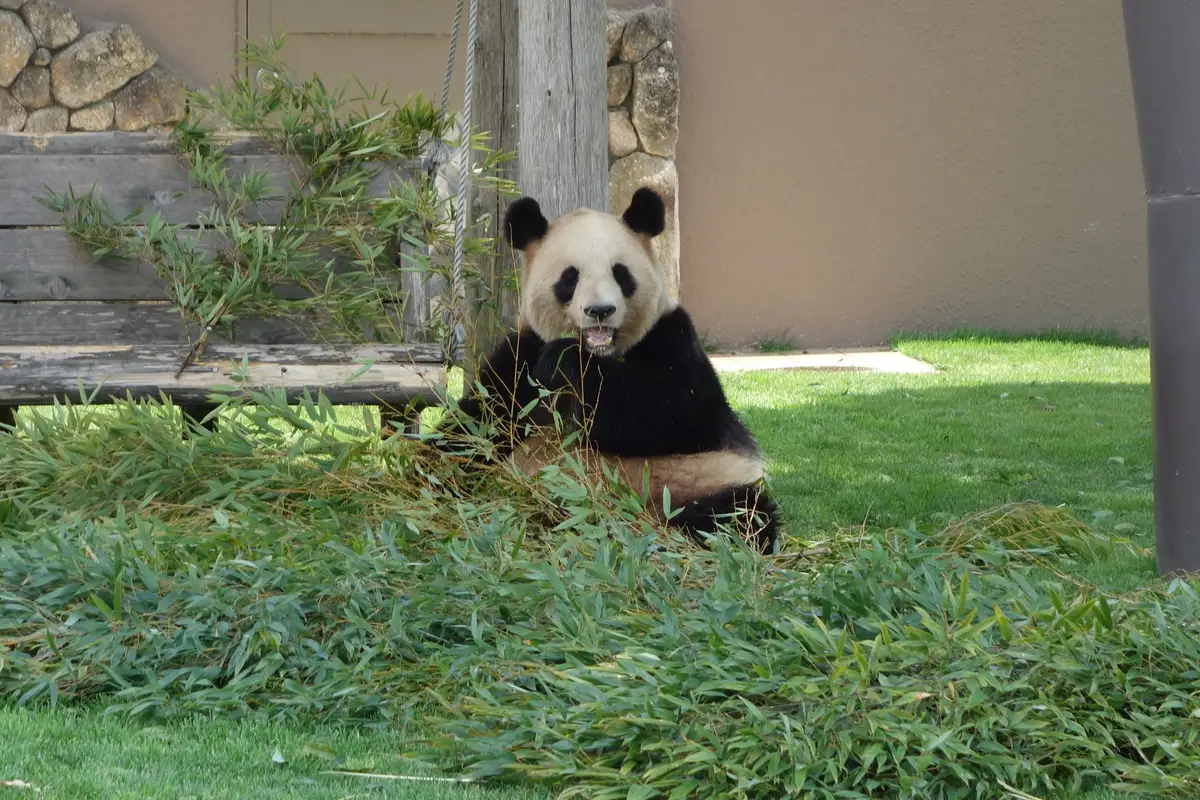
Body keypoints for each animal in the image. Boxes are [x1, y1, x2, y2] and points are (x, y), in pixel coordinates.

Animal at [437, 186, 781, 554]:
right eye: (570, 277)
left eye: (620, 273)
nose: (599, 310)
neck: (600, 351)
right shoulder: (519, 361)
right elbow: (474, 425)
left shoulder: (671, 338)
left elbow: (672, 411)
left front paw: (564, 361)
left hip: (700, 482)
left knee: (738, 516)